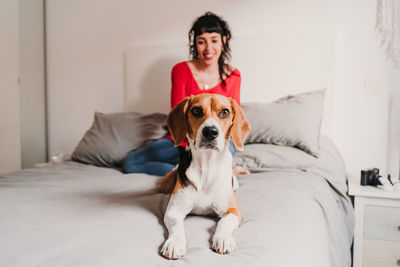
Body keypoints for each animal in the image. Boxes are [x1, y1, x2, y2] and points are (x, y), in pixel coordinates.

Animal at [159, 93, 250, 260]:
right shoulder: (173, 210)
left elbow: (224, 222)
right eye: (196, 110)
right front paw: (175, 243)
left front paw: (223, 239)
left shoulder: (233, 211)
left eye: (225, 112)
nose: (210, 131)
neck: (207, 166)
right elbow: (177, 225)